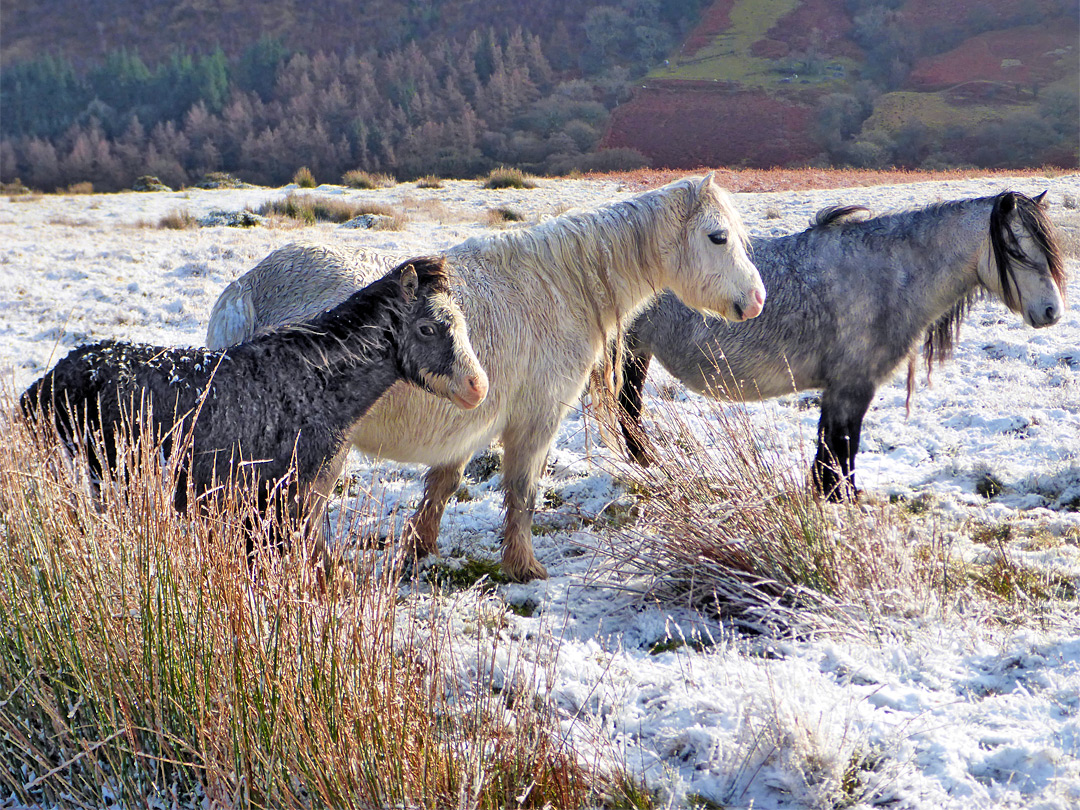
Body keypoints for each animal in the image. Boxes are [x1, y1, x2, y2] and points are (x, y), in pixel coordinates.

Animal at [206, 172, 764, 583]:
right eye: (718, 237)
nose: (757, 301)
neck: (558, 287)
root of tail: (247, 291)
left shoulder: (466, 425)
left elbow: (442, 486)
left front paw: (419, 551)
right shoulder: (536, 420)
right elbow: (522, 492)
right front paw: (523, 567)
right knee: (302, 516)